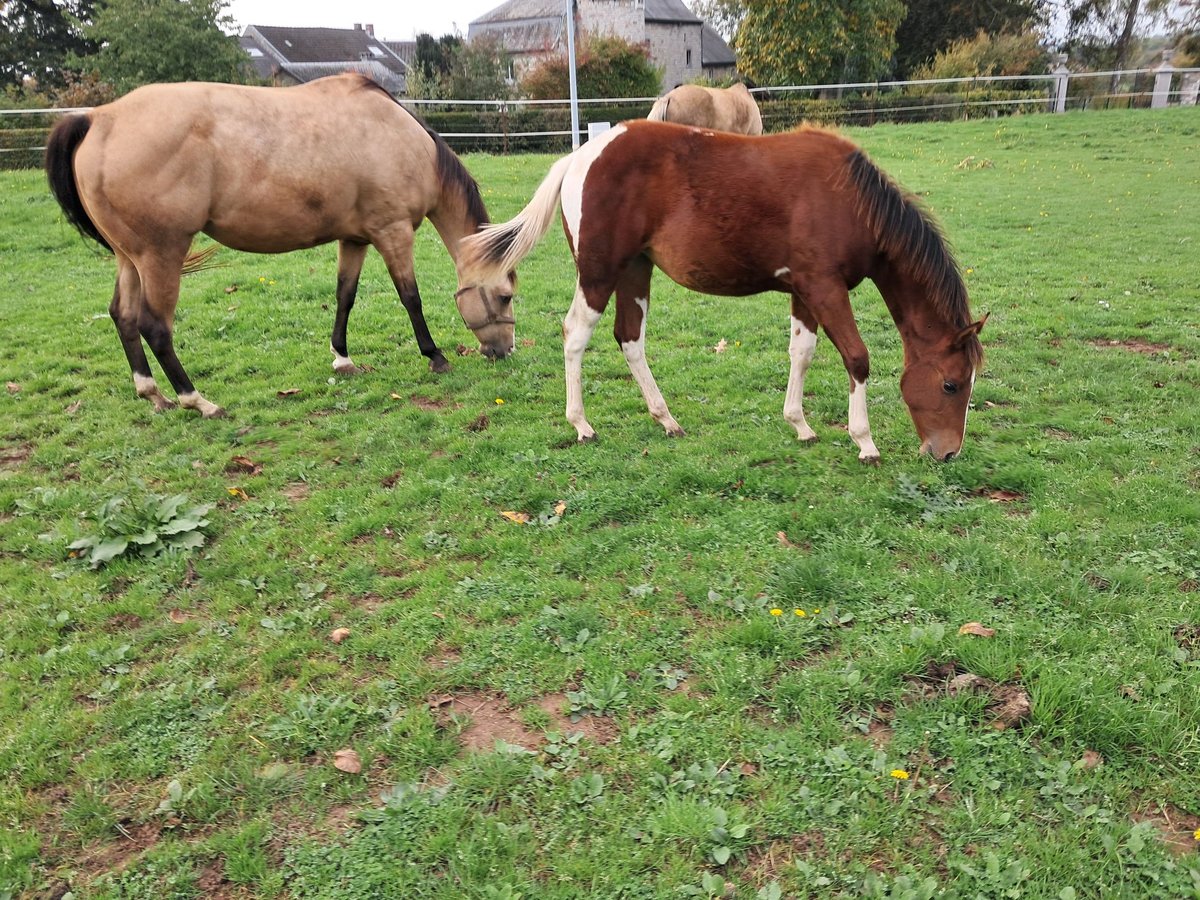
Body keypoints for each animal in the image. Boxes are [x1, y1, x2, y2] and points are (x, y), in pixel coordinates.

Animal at [45, 73, 516, 418]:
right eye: (506, 297)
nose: (503, 351)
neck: (401, 138)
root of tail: (98, 118)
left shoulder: (355, 238)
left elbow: (345, 296)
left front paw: (342, 359)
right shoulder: (393, 232)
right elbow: (410, 297)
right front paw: (435, 355)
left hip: (130, 258)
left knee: (122, 316)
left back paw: (153, 394)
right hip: (160, 256)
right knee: (155, 327)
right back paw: (197, 400)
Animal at [459, 120, 986, 462]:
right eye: (951, 384)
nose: (947, 453)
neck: (849, 199)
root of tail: (578, 157)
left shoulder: (805, 290)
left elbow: (802, 352)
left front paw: (800, 425)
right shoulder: (825, 288)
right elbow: (857, 357)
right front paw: (865, 442)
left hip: (635, 270)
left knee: (630, 337)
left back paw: (665, 418)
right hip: (599, 273)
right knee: (575, 334)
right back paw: (582, 424)